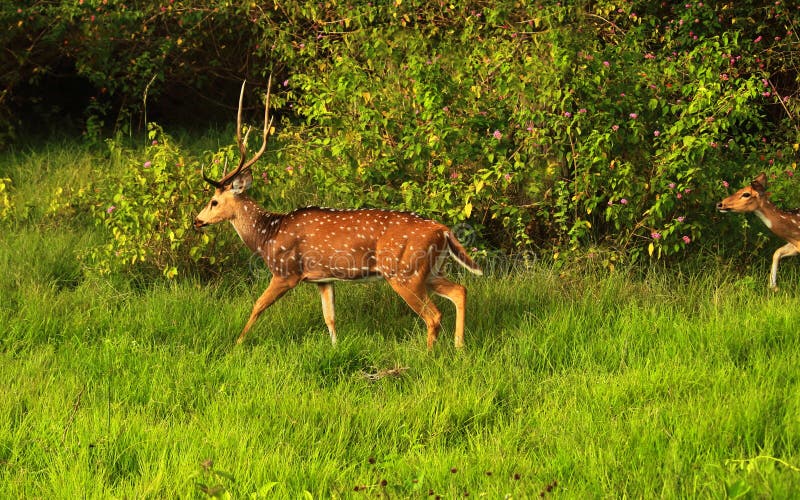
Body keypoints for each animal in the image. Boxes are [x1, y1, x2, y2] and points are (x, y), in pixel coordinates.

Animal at [193, 81, 482, 348]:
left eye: (214, 201)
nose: (197, 221)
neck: (268, 234)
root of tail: (443, 231)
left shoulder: (287, 272)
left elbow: (257, 306)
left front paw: (237, 343)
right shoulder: (323, 278)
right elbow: (330, 317)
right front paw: (335, 347)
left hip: (404, 272)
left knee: (433, 315)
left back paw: (430, 353)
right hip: (430, 270)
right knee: (460, 290)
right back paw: (459, 347)